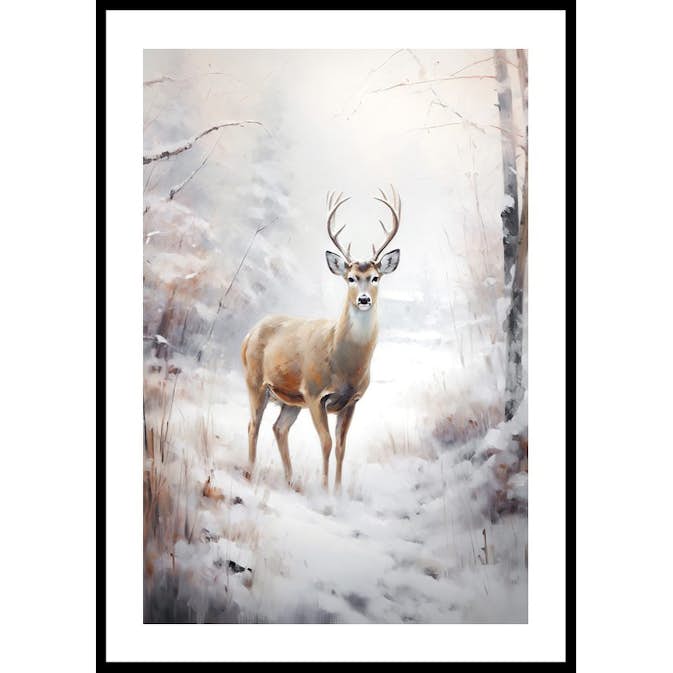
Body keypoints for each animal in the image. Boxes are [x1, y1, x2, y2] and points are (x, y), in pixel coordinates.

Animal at [240, 186, 401, 491]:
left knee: (278, 428)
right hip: (256, 381)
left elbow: (341, 447)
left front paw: (337, 491)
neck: (344, 364)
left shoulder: (352, 401)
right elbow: (326, 443)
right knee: (253, 424)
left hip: (290, 399)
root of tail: (250, 333)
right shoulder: (315, 393)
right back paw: (249, 472)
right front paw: (325, 489)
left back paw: (291, 480)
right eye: (351, 278)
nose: (364, 299)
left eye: (375, 277)